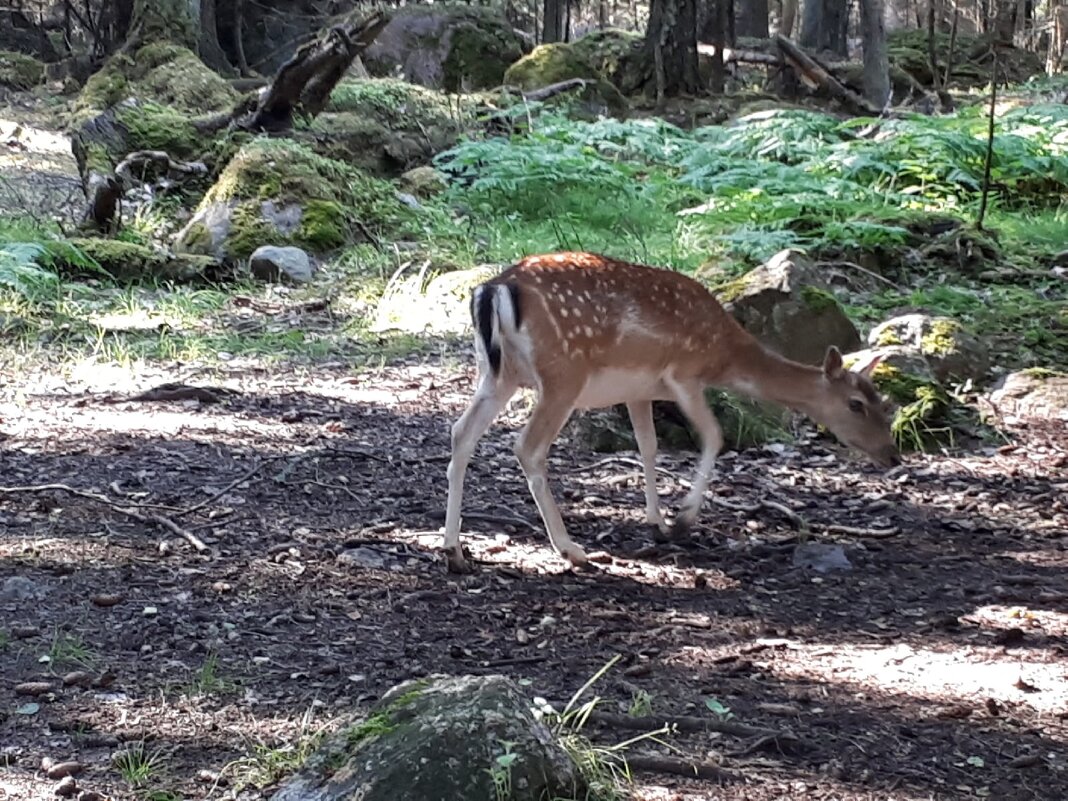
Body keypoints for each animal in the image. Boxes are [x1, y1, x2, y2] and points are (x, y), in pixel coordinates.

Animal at [442, 254, 901, 572]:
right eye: (856, 404)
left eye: (881, 399)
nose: (893, 455)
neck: (726, 356)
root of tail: (494, 290)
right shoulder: (685, 374)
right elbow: (714, 435)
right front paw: (683, 518)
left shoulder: (638, 390)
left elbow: (648, 446)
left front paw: (656, 522)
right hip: (562, 374)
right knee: (527, 446)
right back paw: (572, 550)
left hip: (497, 374)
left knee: (461, 433)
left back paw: (454, 551)